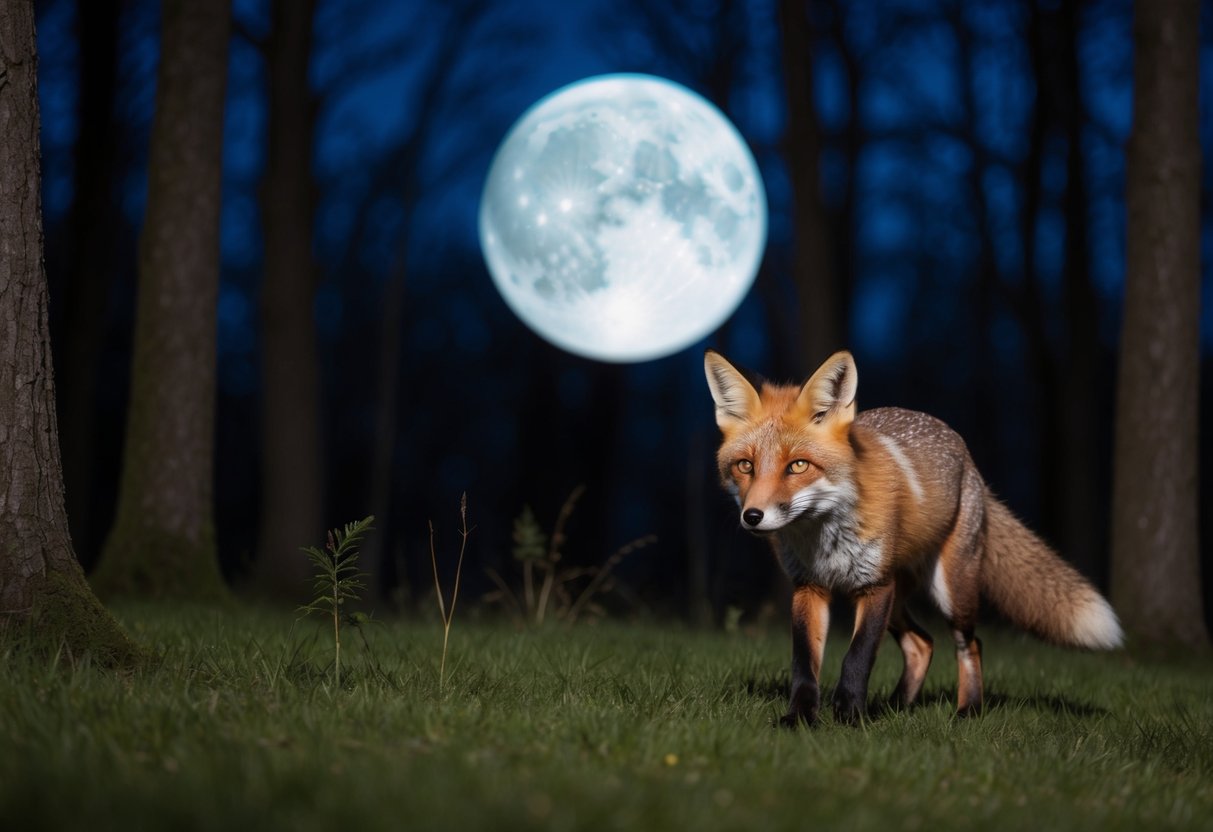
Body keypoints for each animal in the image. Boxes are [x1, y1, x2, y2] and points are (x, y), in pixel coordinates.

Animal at [704, 349, 1123, 726]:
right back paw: (895, 707)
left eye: (798, 466)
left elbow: (857, 658)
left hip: (950, 592)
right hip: (897, 600)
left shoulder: (875, 587)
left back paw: (967, 711)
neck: (824, 541)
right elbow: (804, 665)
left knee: (969, 644)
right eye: (745, 466)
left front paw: (850, 718)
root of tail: (965, 455)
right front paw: (801, 718)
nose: (752, 516)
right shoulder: (810, 588)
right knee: (923, 644)